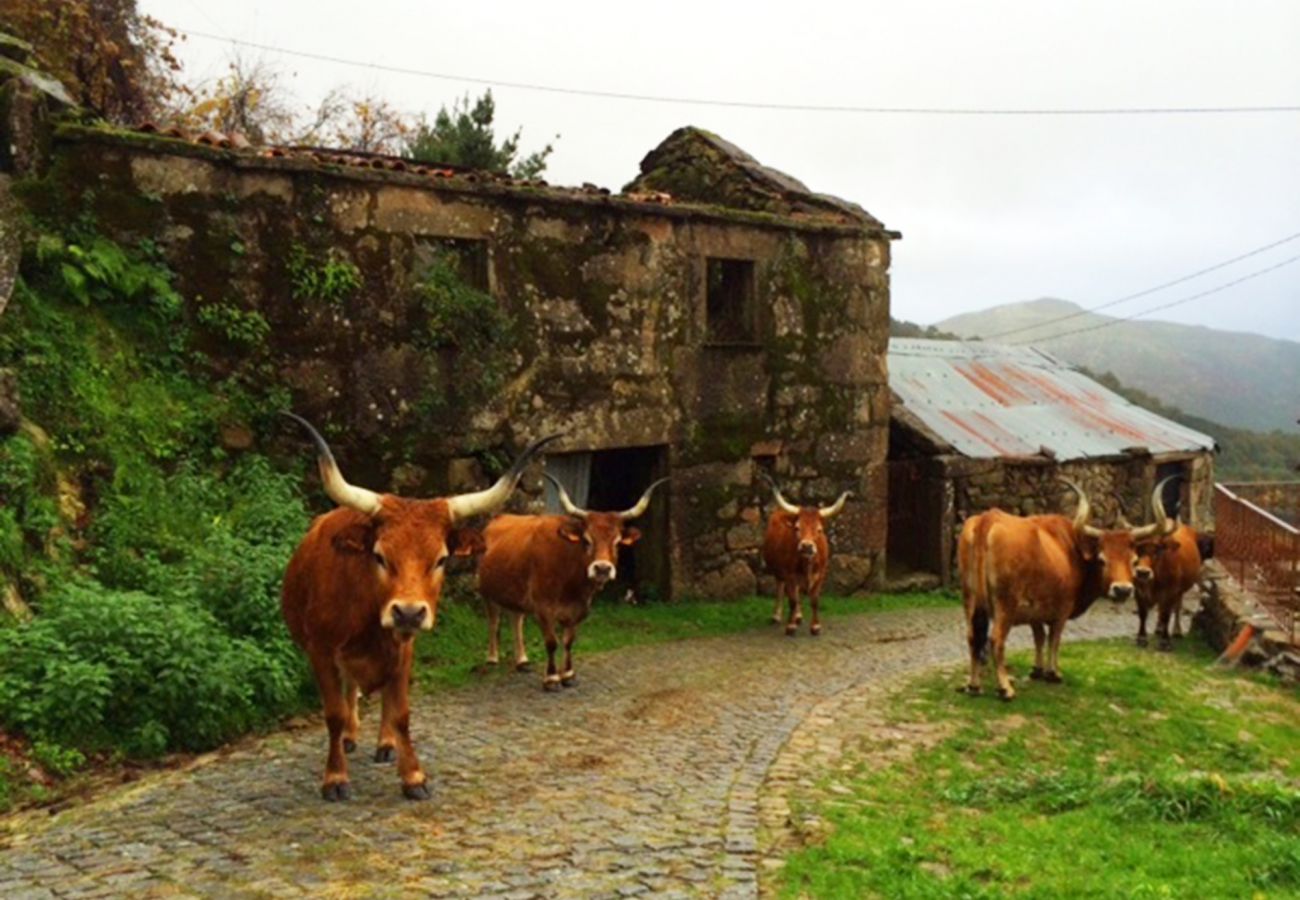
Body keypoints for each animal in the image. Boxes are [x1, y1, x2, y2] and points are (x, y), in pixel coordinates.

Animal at [284, 413, 559, 801]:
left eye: (441, 559)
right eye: (379, 556)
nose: (409, 612)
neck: (365, 616)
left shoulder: (402, 650)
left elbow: (399, 712)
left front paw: (412, 774)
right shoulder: (320, 651)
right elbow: (334, 714)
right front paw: (335, 777)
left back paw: (385, 744)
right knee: (349, 693)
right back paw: (351, 738)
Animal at [475, 470, 670, 686]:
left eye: (618, 543)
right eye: (586, 540)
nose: (602, 568)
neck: (570, 579)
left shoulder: (578, 610)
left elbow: (568, 641)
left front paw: (568, 674)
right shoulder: (543, 608)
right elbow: (551, 642)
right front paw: (552, 678)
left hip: (515, 592)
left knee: (516, 618)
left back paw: (522, 660)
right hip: (486, 591)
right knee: (494, 621)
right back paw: (492, 659)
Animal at [759, 473, 847, 637]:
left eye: (819, 529)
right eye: (797, 528)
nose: (806, 546)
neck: (807, 563)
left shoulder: (821, 574)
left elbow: (814, 600)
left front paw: (815, 626)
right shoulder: (788, 574)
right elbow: (792, 600)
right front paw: (790, 626)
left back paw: (798, 616)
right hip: (778, 572)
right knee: (780, 589)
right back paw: (777, 616)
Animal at [956, 481, 1170, 697]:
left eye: (1133, 561)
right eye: (1102, 560)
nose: (1123, 590)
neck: (1072, 549)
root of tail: (988, 518)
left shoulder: (1035, 611)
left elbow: (1040, 637)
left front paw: (1037, 669)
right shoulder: (1061, 611)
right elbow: (1054, 639)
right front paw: (1054, 673)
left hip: (970, 600)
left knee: (973, 637)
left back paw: (974, 685)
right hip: (1005, 605)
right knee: (996, 639)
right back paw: (1005, 687)